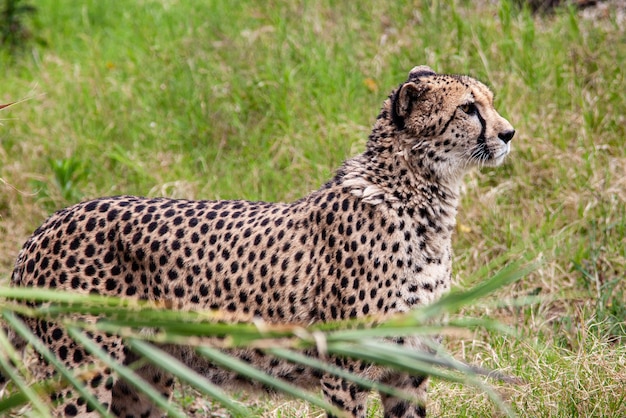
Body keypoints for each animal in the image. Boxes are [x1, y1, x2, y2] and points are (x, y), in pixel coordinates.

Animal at [7, 65, 512, 414]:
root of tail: (47, 224)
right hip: (81, 370)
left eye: (489, 101)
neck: (421, 200)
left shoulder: (406, 370)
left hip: (143, 373)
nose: (509, 132)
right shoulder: (344, 371)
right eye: (468, 108)